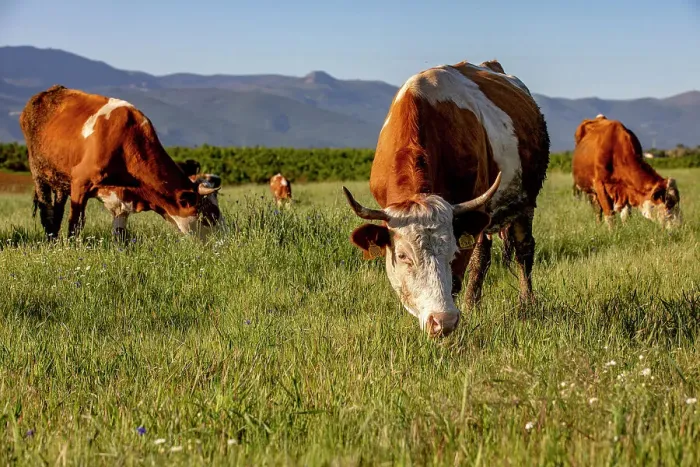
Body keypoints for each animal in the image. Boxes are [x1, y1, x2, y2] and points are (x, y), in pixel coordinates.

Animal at [20, 85, 222, 240]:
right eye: (209, 213)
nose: (224, 239)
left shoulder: (122, 200)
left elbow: (120, 234)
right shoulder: (80, 181)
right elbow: (75, 224)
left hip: (59, 180)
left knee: (57, 209)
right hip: (38, 172)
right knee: (47, 210)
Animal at [342, 59, 550, 338]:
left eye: (452, 251)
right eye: (403, 256)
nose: (442, 321)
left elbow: (463, 274)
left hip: (524, 202)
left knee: (519, 252)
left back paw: (523, 303)